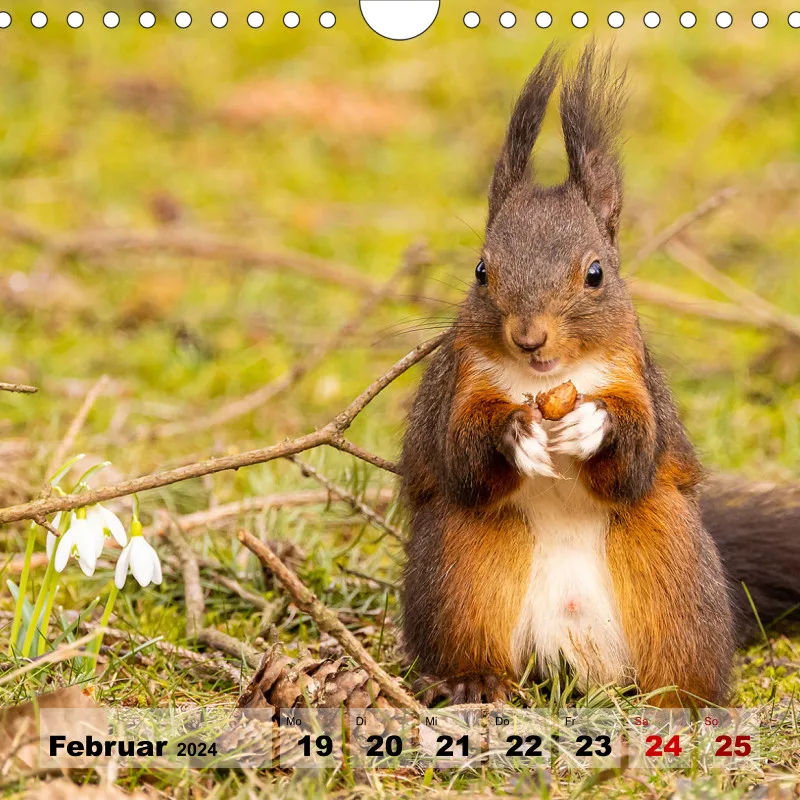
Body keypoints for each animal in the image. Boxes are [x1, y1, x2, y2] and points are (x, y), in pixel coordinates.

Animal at [400, 44, 800, 708]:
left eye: (595, 274)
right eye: (482, 270)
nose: (529, 336)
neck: (546, 381)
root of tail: (570, 656)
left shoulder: (636, 380)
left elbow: (634, 460)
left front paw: (594, 424)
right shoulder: (462, 384)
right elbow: (461, 458)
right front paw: (513, 434)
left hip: (672, 566)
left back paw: (684, 702)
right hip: (460, 570)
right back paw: (473, 681)